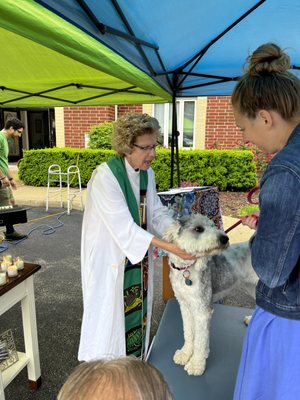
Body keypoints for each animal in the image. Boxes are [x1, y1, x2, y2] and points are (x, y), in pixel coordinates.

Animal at [163, 214, 256, 376]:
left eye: (213, 225)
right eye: (198, 229)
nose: (224, 238)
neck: (186, 270)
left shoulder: (202, 311)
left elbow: (200, 340)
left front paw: (196, 364)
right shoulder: (185, 306)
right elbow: (189, 333)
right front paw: (185, 354)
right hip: (252, 287)